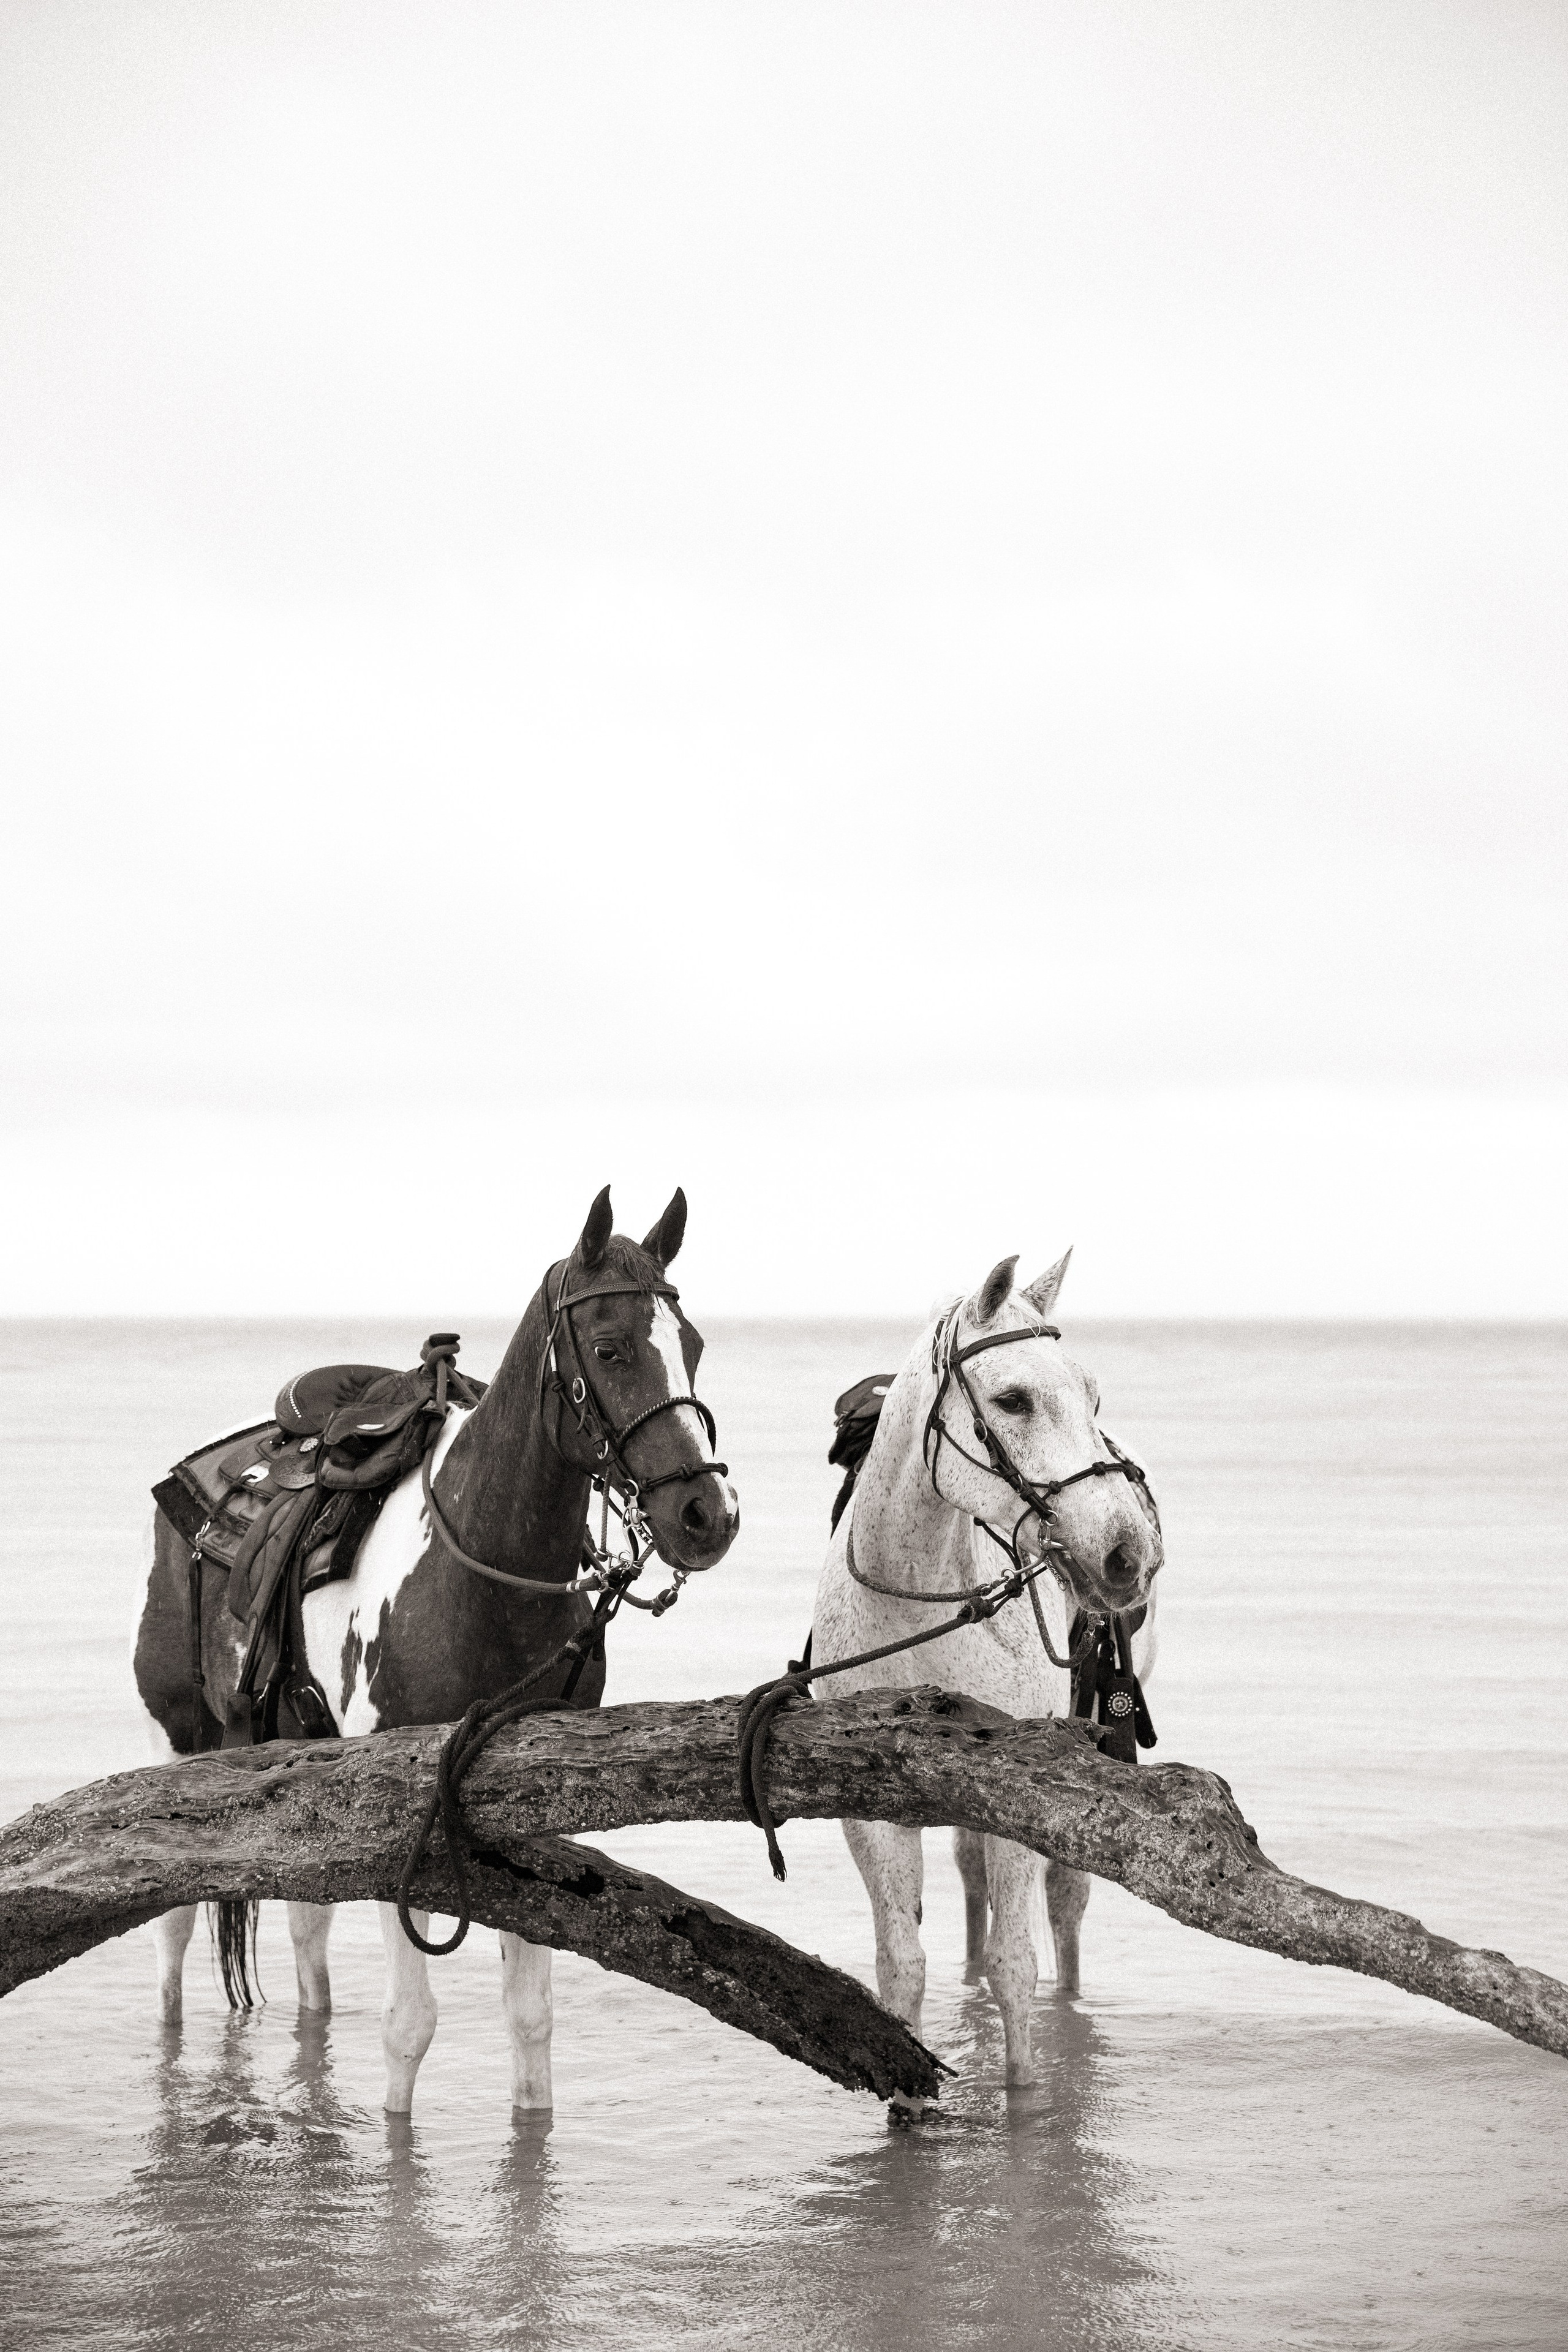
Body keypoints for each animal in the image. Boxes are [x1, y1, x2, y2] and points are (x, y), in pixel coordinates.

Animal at [131, 1185, 740, 2112]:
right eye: (609, 1348)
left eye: (693, 1346)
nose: (707, 1516)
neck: (479, 1574)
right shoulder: (401, 1806)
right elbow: (409, 2027)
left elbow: (530, 2018)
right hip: (180, 1738)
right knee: (169, 1929)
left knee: (307, 1931)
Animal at [810, 1247, 1161, 2096]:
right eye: (1012, 1399)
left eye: (1091, 1393)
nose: (1128, 1552)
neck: (917, 1598)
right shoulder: (863, 1810)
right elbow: (900, 1963)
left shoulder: (1024, 1796)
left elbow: (1015, 1966)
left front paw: (1027, 2101)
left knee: (1064, 1907)